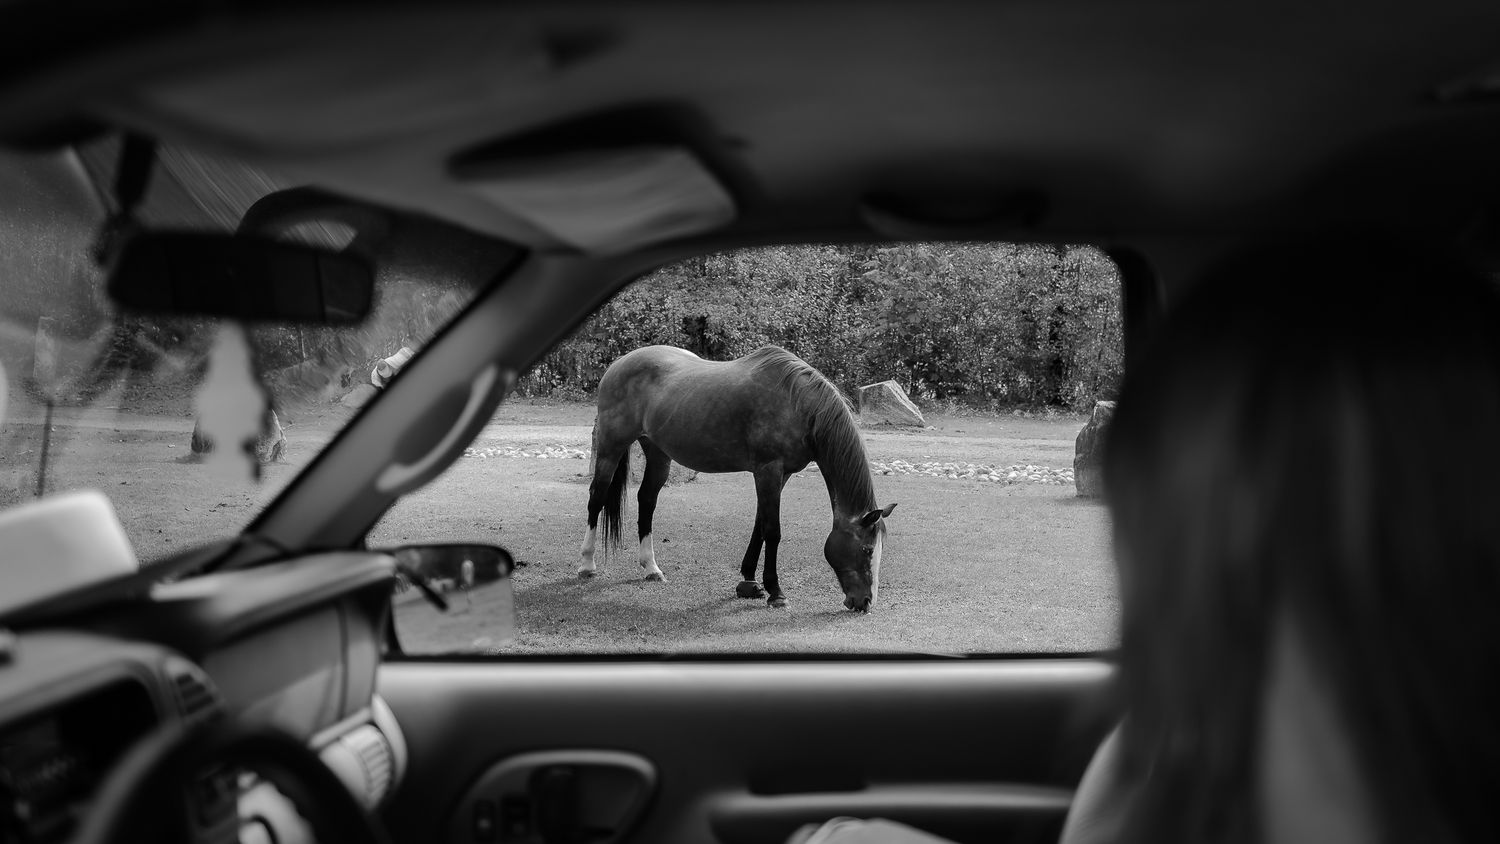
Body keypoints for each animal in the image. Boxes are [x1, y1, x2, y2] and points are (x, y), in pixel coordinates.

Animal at [578, 344, 896, 610]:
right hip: (610, 448)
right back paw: (587, 565)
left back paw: (651, 568)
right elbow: (772, 530)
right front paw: (775, 592)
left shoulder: (780, 475)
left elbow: (760, 525)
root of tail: (618, 364)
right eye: (867, 549)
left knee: (646, 500)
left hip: (657, 454)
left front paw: (749, 582)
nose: (865, 602)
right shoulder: (768, 469)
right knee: (596, 498)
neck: (799, 405)